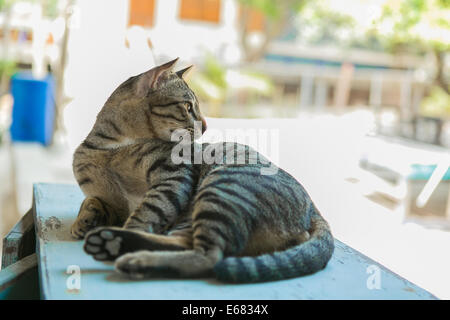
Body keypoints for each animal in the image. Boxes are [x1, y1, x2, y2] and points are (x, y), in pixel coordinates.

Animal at [71, 57, 334, 282]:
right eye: (187, 106)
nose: (206, 126)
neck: (112, 147)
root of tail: (314, 210)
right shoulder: (112, 200)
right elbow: (92, 200)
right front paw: (84, 220)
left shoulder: (174, 176)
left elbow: (146, 212)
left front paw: (122, 225)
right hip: (196, 214)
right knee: (186, 245)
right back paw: (114, 244)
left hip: (221, 189)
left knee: (209, 256)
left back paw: (124, 249)